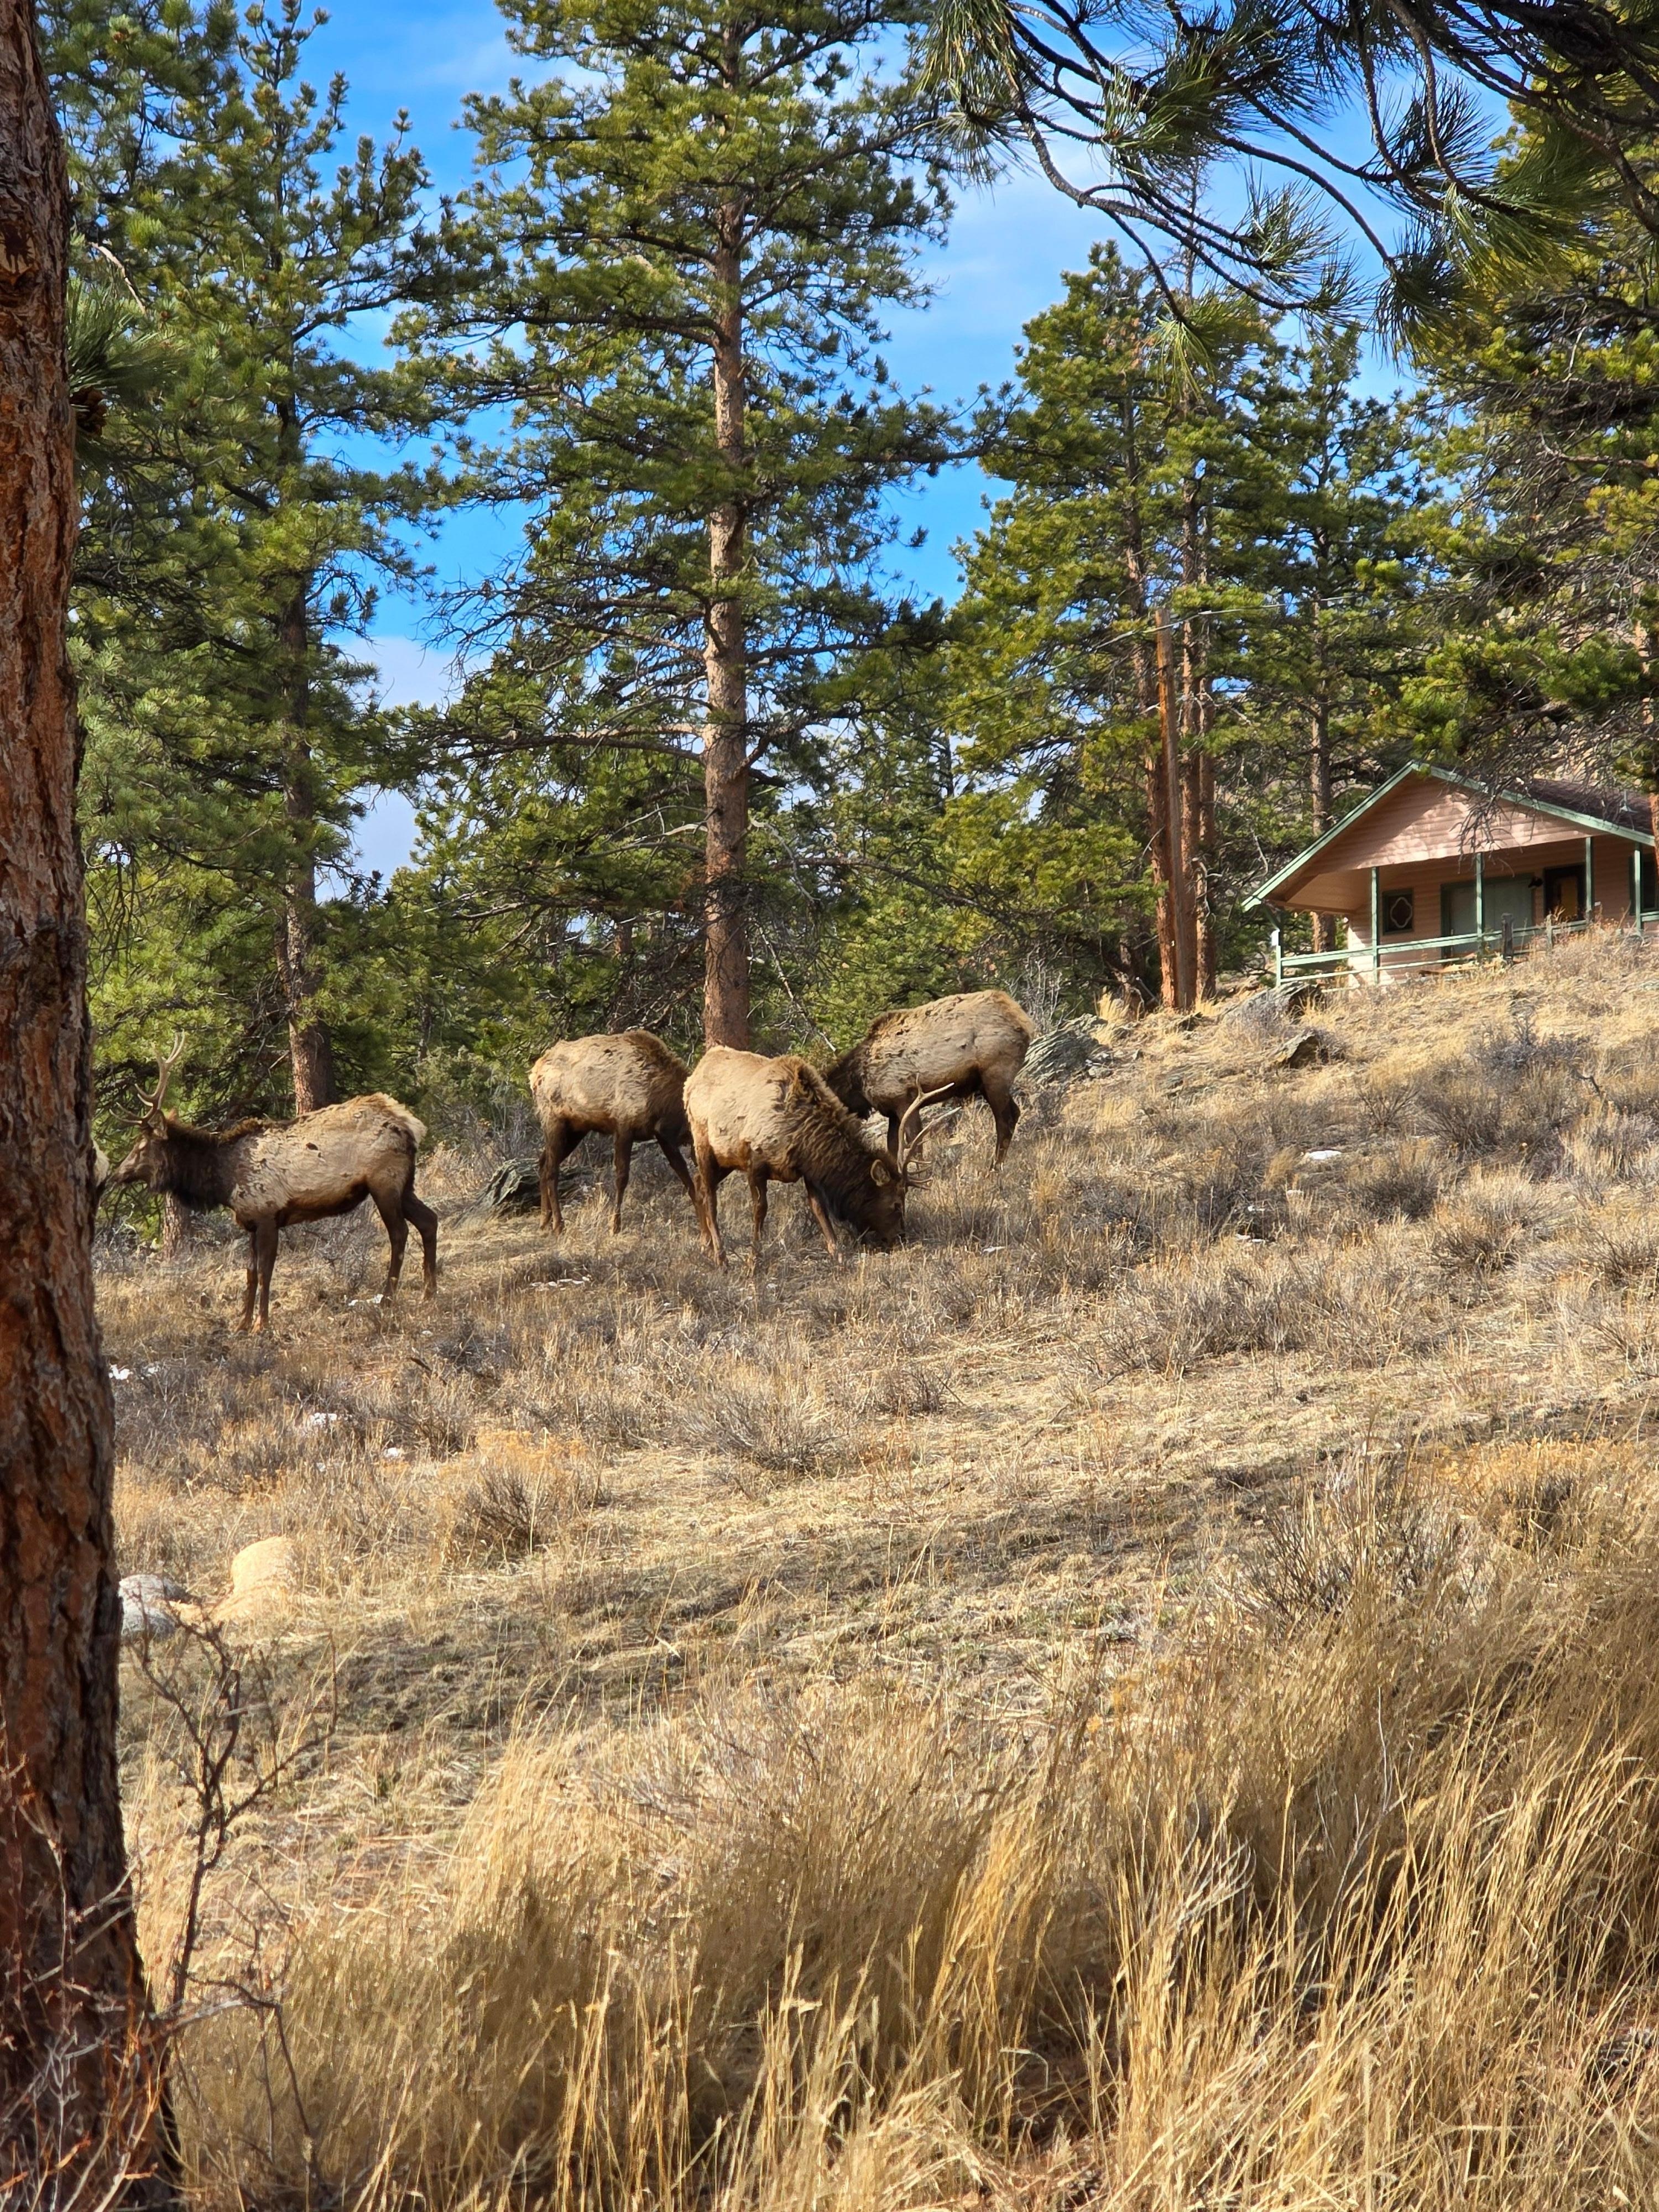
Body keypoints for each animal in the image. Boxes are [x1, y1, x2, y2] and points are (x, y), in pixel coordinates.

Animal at [107, 1040, 438, 1332]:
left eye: (141, 1148)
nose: (116, 1174)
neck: (224, 1181)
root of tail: (412, 1125)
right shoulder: (251, 1222)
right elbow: (251, 1273)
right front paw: (241, 1323)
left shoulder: (268, 1215)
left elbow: (266, 1272)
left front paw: (261, 1325)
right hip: (404, 1185)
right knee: (429, 1220)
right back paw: (428, 1293)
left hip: (385, 1181)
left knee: (400, 1233)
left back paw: (388, 1299)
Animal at [528, 1030, 698, 1235]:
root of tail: (534, 1073)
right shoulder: (626, 1126)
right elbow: (622, 1177)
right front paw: (615, 1225)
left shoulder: (660, 1135)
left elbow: (685, 1177)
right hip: (554, 1121)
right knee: (552, 1170)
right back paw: (558, 1224)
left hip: (576, 1129)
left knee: (542, 1162)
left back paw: (544, 1220)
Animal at [683, 1046, 933, 1269]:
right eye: (896, 1204)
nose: (901, 1237)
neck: (802, 1135)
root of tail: (694, 1075)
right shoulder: (755, 1160)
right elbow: (760, 1210)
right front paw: (754, 1260)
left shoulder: (808, 1169)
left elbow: (818, 1208)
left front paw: (837, 1255)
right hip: (703, 1143)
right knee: (710, 1196)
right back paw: (721, 1257)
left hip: (725, 1159)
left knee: (698, 1182)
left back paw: (706, 1245)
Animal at [822, 989, 1037, 1166]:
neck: (858, 1086)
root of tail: (1024, 1020)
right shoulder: (892, 1111)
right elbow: (893, 1149)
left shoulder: (904, 1100)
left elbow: (915, 1146)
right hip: (985, 1082)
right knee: (1014, 1113)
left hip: (995, 1074)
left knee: (1005, 1120)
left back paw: (994, 1168)